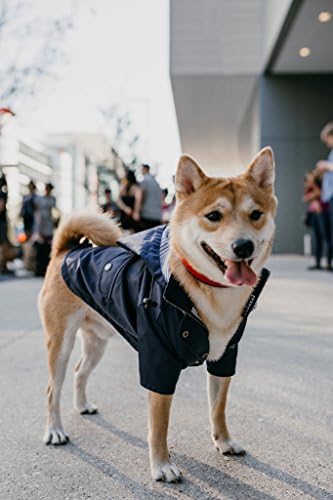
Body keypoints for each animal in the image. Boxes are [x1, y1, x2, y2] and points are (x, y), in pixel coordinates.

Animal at [39, 146, 276, 482]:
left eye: (255, 215)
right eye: (213, 216)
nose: (243, 246)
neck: (203, 291)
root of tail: (67, 251)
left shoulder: (225, 356)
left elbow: (218, 408)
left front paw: (224, 441)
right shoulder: (158, 361)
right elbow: (159, 425)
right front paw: (162, 465)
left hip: (96, 342)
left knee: (79, 372)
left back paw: (83, 406)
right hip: (60, 343)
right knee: (52, 389)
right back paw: (55, 431)